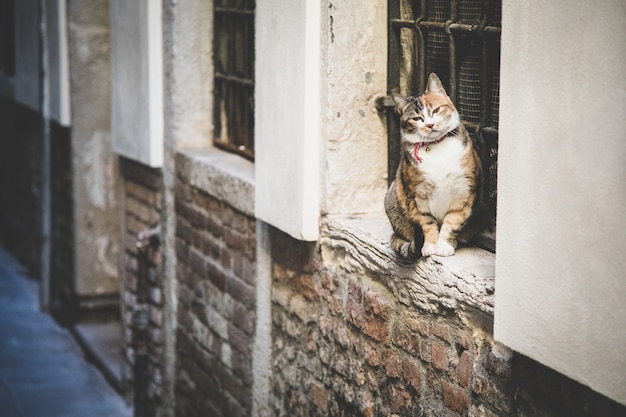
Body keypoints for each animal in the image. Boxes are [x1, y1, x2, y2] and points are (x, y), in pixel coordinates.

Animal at [386, 73, 482, 258]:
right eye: (417, 118)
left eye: (436, 110)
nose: (430, 124)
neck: (437, 146)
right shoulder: (416, 194)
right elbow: (427, 222)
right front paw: (430, 245)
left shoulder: (463, 190)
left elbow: (452, 221)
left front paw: (444, 245)